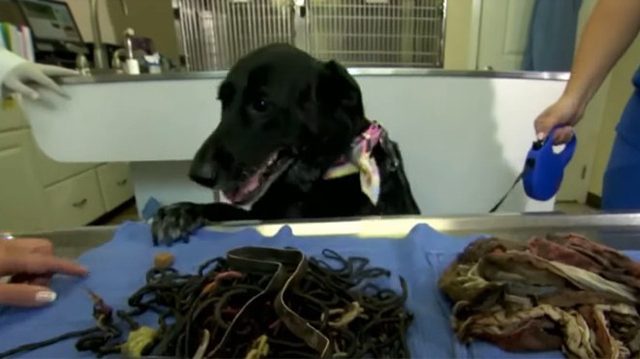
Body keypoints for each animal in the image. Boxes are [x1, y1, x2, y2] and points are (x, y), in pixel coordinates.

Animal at [151, 43, 420, 245]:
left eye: (261, 104)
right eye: (223, 102)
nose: (198, 175)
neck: (308, 184)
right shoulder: (260, 215)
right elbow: (223, 209)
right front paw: (183, 210)